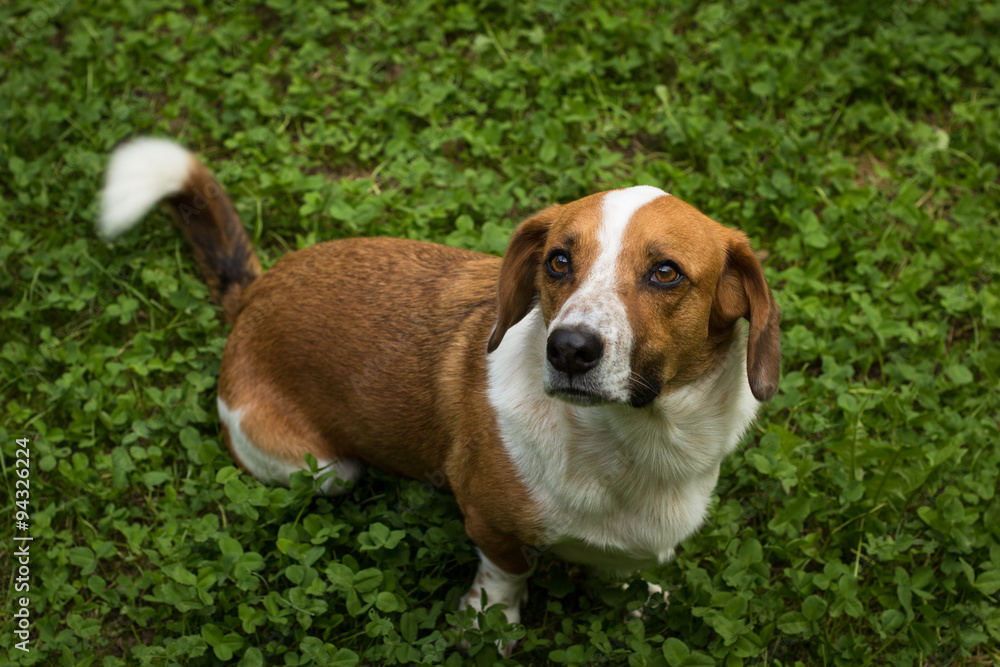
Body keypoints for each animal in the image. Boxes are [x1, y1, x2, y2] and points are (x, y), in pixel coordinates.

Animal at [97, 138, 776, 656]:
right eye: (558, 261)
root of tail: (253, 295)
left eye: (665, 273)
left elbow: (623, 574)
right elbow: (508, 576)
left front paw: (637, 599)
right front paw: (490, 627)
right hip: (325, 470)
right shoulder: (491, 525)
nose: (568, 349)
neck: (633, 440)